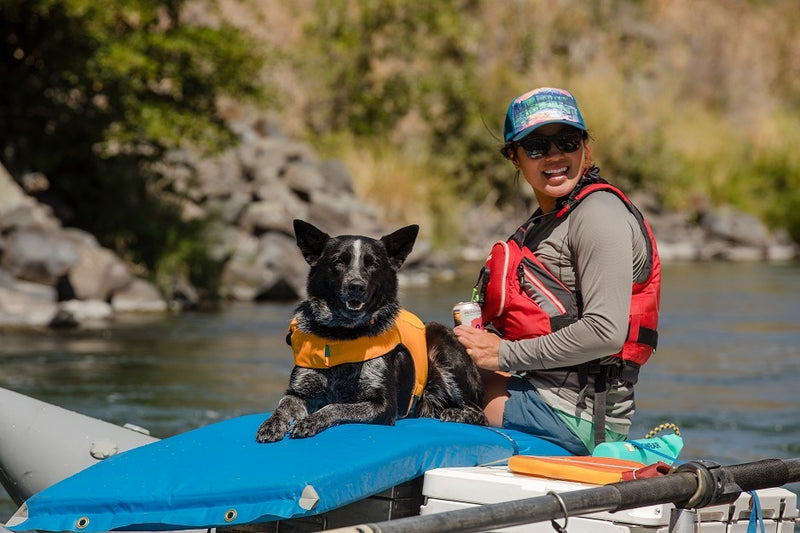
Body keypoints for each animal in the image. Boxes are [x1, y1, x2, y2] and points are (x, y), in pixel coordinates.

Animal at [255, 218, 488, 442]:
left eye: (373, 263)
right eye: (338, 261)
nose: (356, 286)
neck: (342, 335)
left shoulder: (382, 405)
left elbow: (335, 407)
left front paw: (310, 421)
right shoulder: (299, 391)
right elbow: (283, 405)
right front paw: (271, 424)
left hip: (440, 336)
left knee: (480, 414)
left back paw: (456, 413)